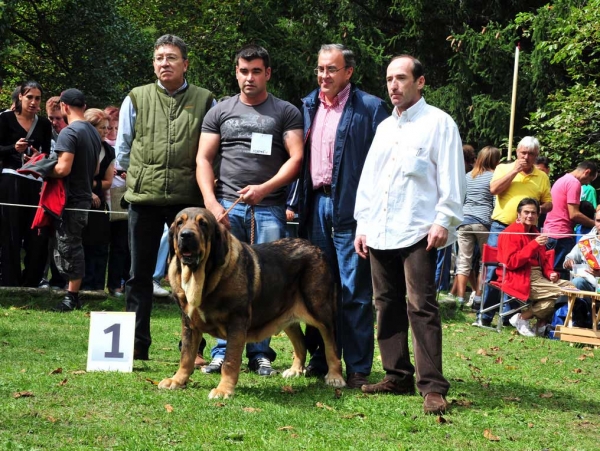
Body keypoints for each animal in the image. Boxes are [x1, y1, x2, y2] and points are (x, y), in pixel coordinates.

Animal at [158, 208, 346, 400]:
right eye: (179, 223)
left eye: (203, 224)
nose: (186, 235)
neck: (202, 278)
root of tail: (315, 248)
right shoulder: (189, 324)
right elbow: (186, 355)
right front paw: (177, 380)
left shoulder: (236, 323)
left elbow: (230, 360)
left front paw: (223, 390)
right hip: (285, 315)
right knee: (301, 343)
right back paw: (295, 370)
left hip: (321, 312)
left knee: (331, 346)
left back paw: (335, 377)